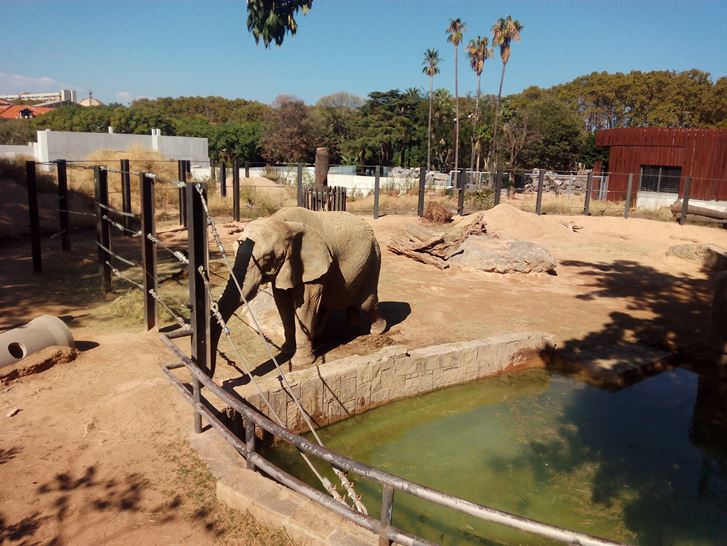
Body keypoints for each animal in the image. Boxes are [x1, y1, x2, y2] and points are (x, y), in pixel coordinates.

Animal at [210, 204, 386, 374]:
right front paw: (286, 351)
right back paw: (347, 333)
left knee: (366, 303)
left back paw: (378, 331)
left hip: (373, 258)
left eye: (267, 258)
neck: (282, 222)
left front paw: (301, 363)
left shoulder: (313, 265)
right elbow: (283, 304)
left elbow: (305, 306)